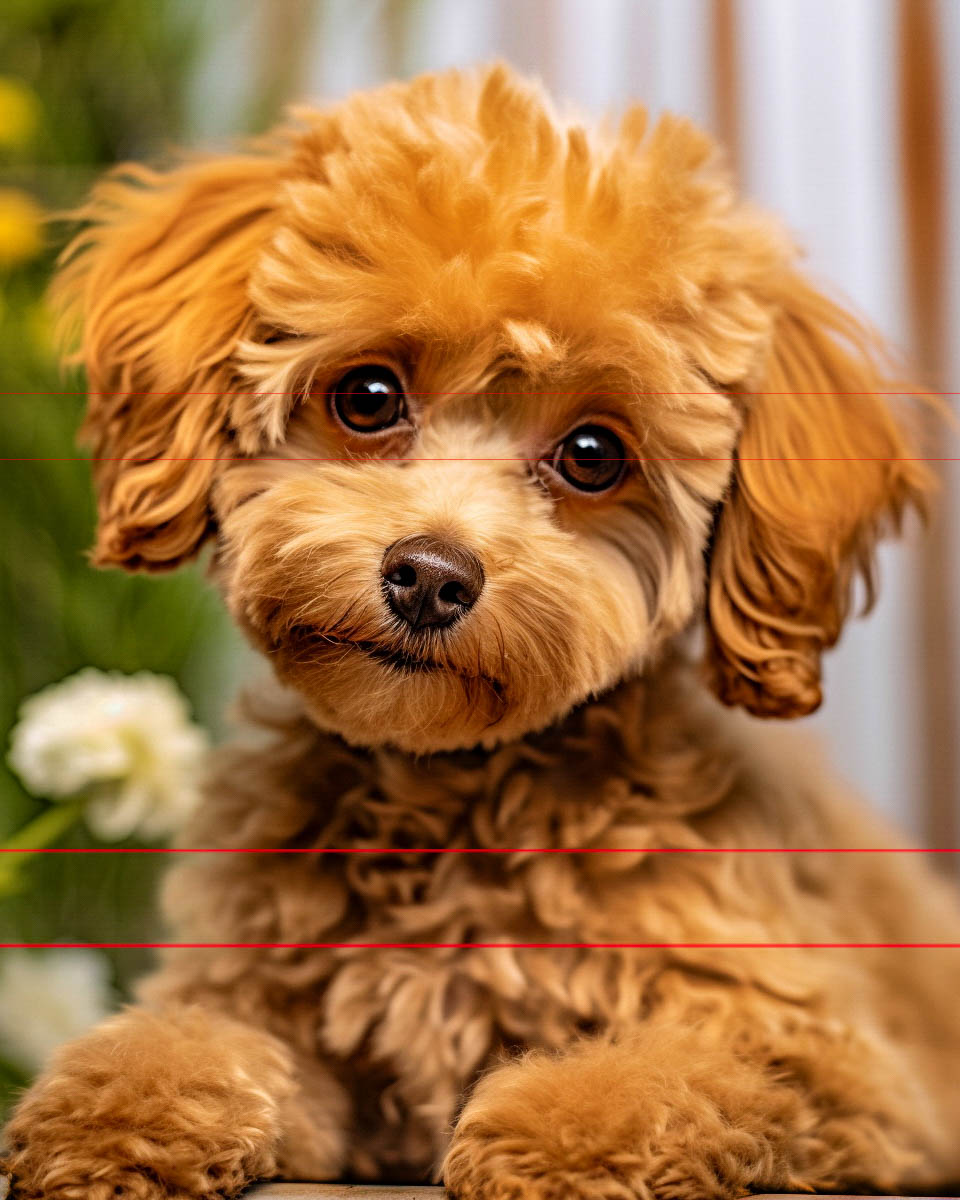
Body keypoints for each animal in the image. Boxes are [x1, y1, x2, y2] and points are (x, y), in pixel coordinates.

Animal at [1, 63, 960, 1200]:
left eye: (593, 454)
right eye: (369, 395)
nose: (430, 576)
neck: (450, 800)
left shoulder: (842, 1073)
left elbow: (687, 1072)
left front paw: (560, 1133)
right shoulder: (292, 1030)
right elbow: (207, 1041)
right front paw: (114, 1112)